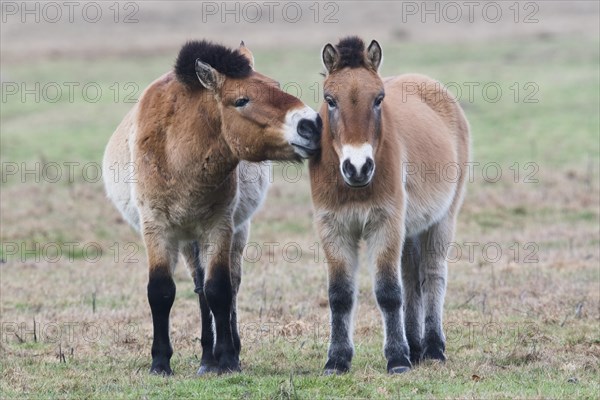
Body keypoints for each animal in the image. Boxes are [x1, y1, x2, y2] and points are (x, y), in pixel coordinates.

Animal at [102, 40, 324, 376]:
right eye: (241, 100)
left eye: (276, 85)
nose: (312, 124)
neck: (177, 156)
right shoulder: (157, 229)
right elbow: (161, 292)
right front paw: (160, 363)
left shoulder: (219, 227)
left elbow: (219, 290)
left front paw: (229, 360)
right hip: (188, 240)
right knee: (198, 287)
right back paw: (206, 357)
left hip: (231, 233)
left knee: (225, 285)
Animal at [310, 38, 468, 376]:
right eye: (330, 100)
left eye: (379, 99)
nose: (358, 167)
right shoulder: (333, 228)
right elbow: (340, 295)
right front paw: (337, 360)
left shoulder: (385, 224)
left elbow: (388, 292)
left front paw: (397, 359)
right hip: (409, 230)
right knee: (411, 280)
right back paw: (416, 347)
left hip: (441, 220)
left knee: (432, 276)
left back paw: (433, 348)